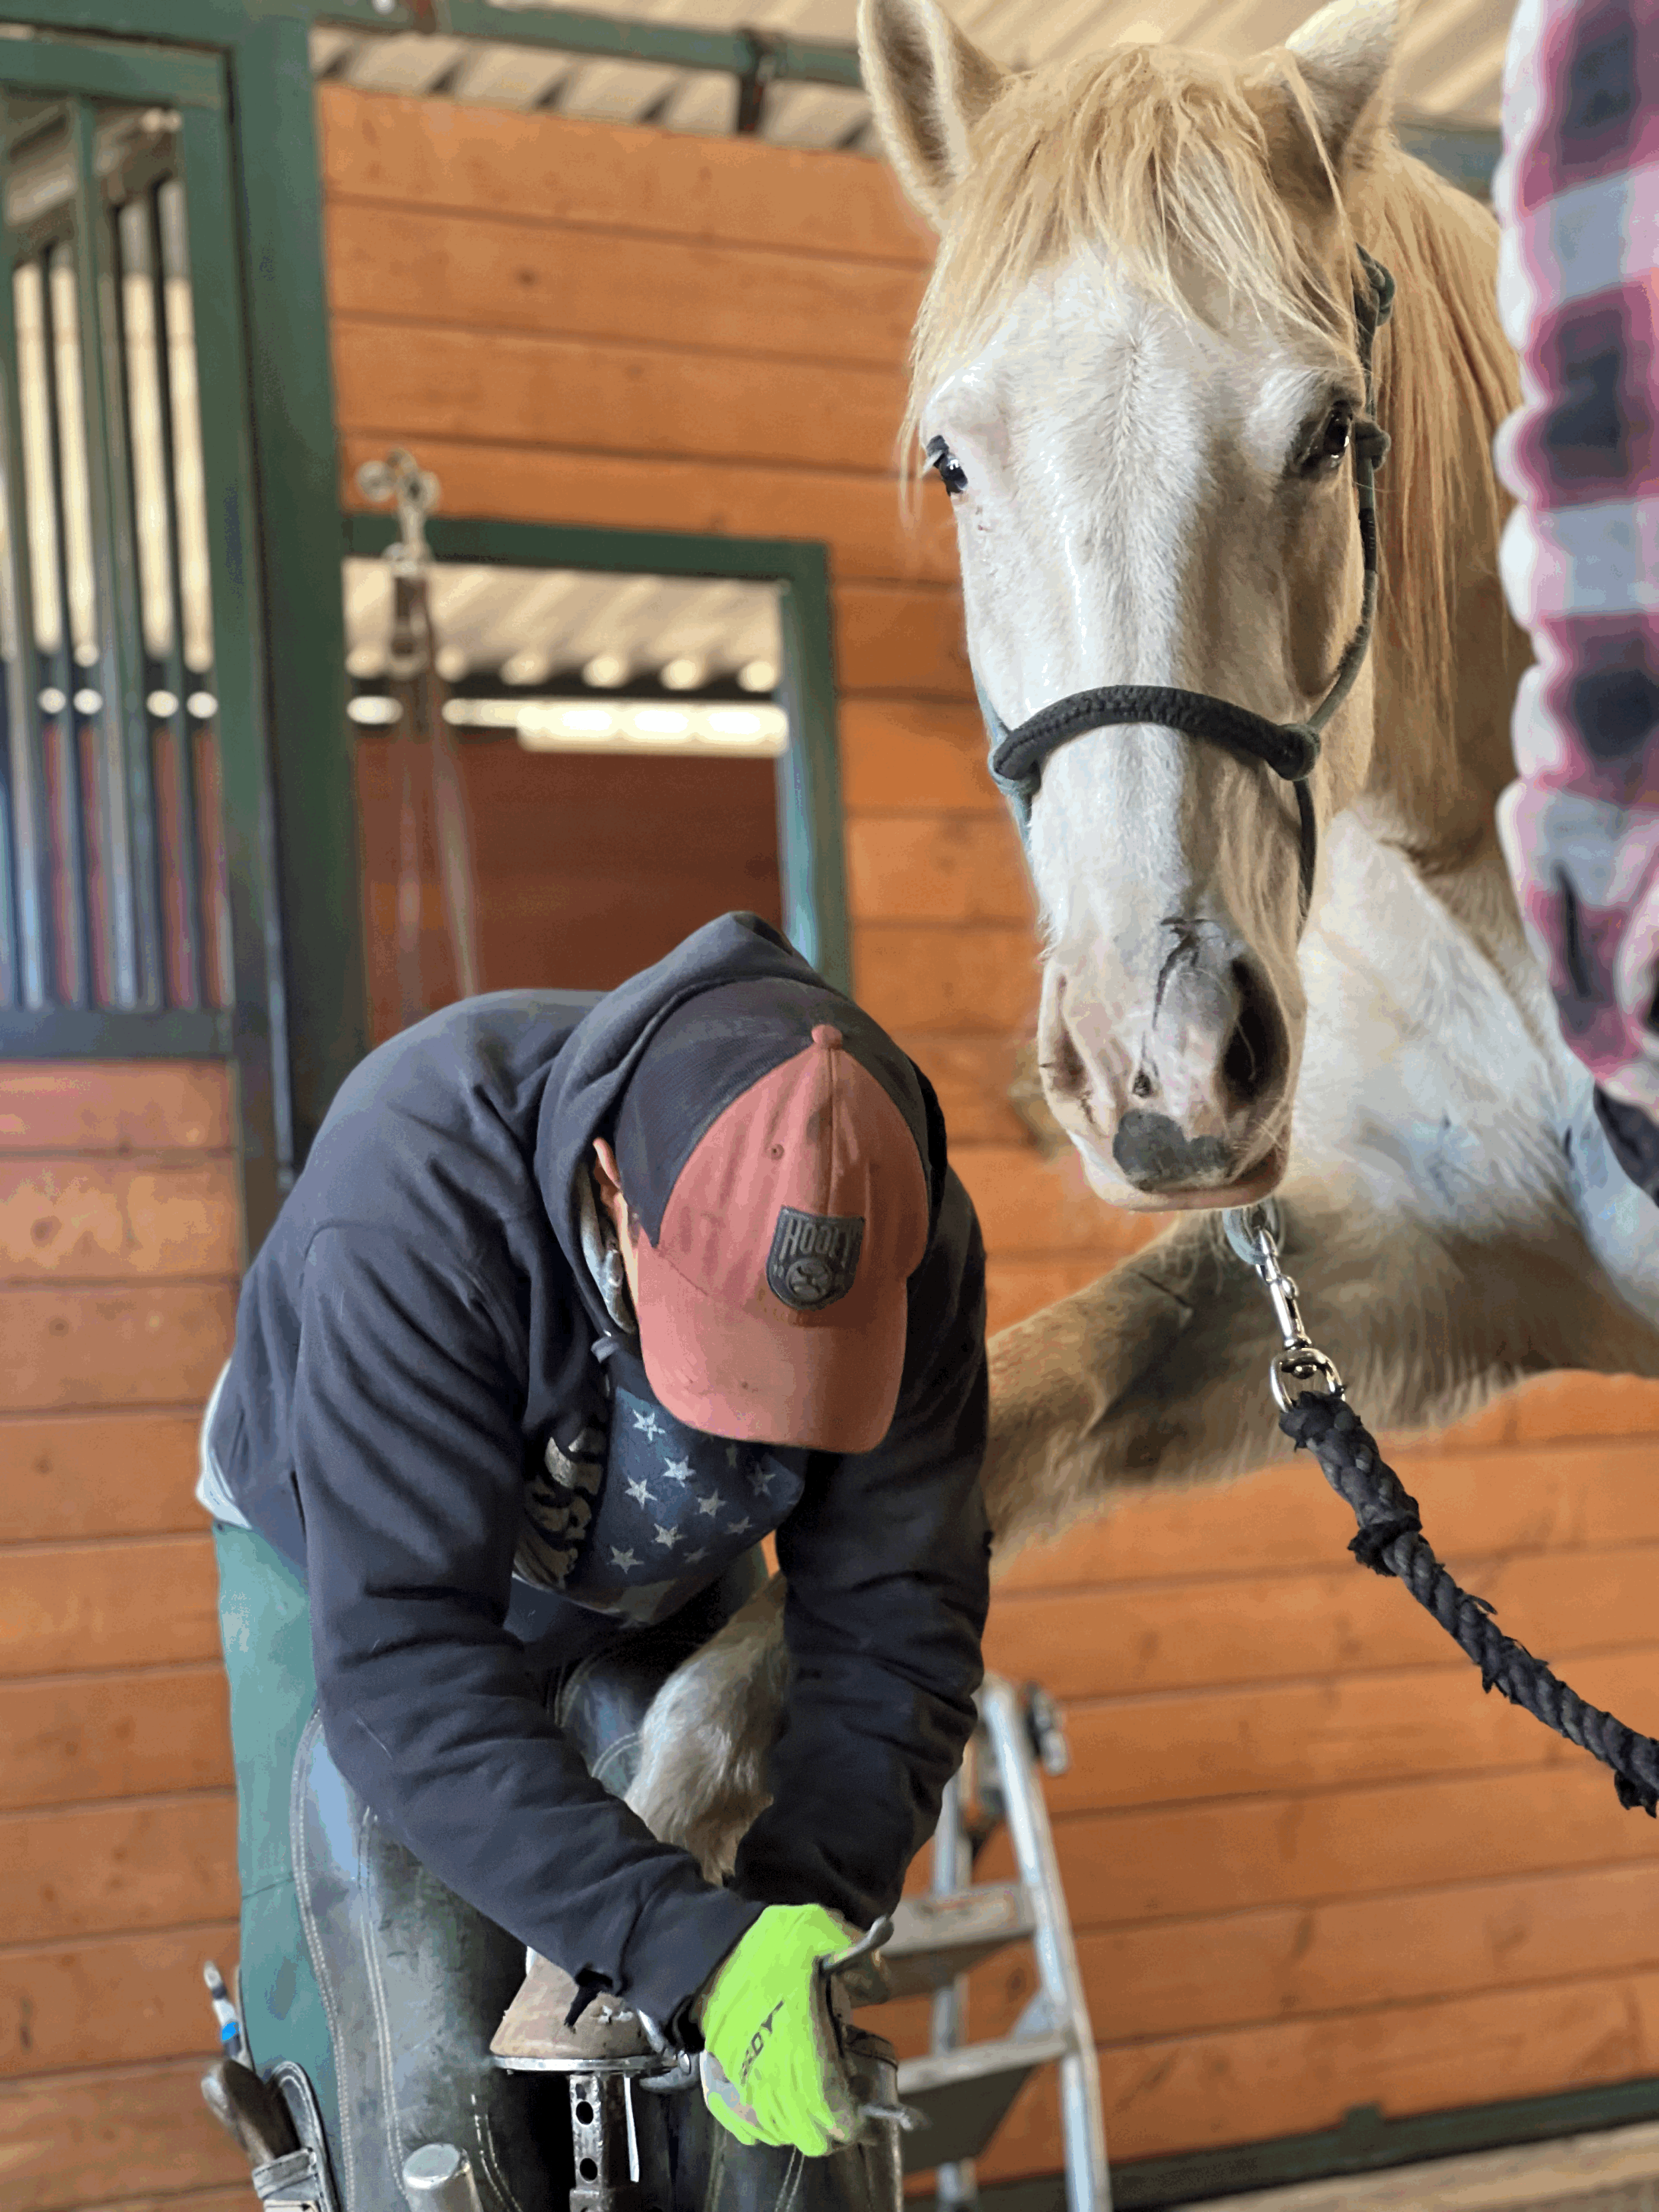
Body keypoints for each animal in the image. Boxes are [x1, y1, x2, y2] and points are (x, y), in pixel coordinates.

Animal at [623, 0, 1659, 1874]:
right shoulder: (1429, 1276)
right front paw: (683, 1789)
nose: (1163, 1062)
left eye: (1328, 429)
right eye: (953, 458)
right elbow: (1047, 1381)